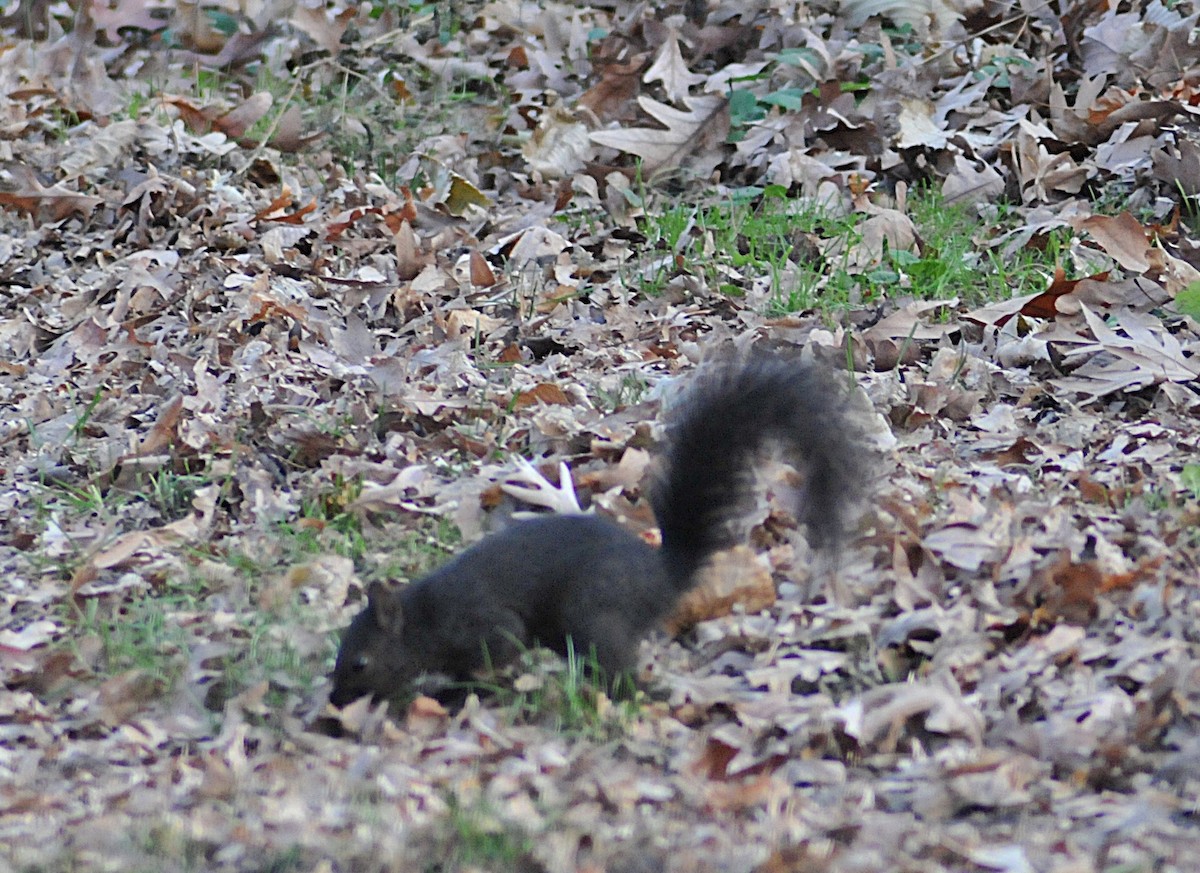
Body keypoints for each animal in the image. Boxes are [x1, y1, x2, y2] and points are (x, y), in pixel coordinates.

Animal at [328, 353, 865, 708]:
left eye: (359, 664)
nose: (334, 703)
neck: (423, 617)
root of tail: (661, 576)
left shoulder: (482, 625)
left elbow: (499, 652)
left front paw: (466, 692)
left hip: (593, 615)